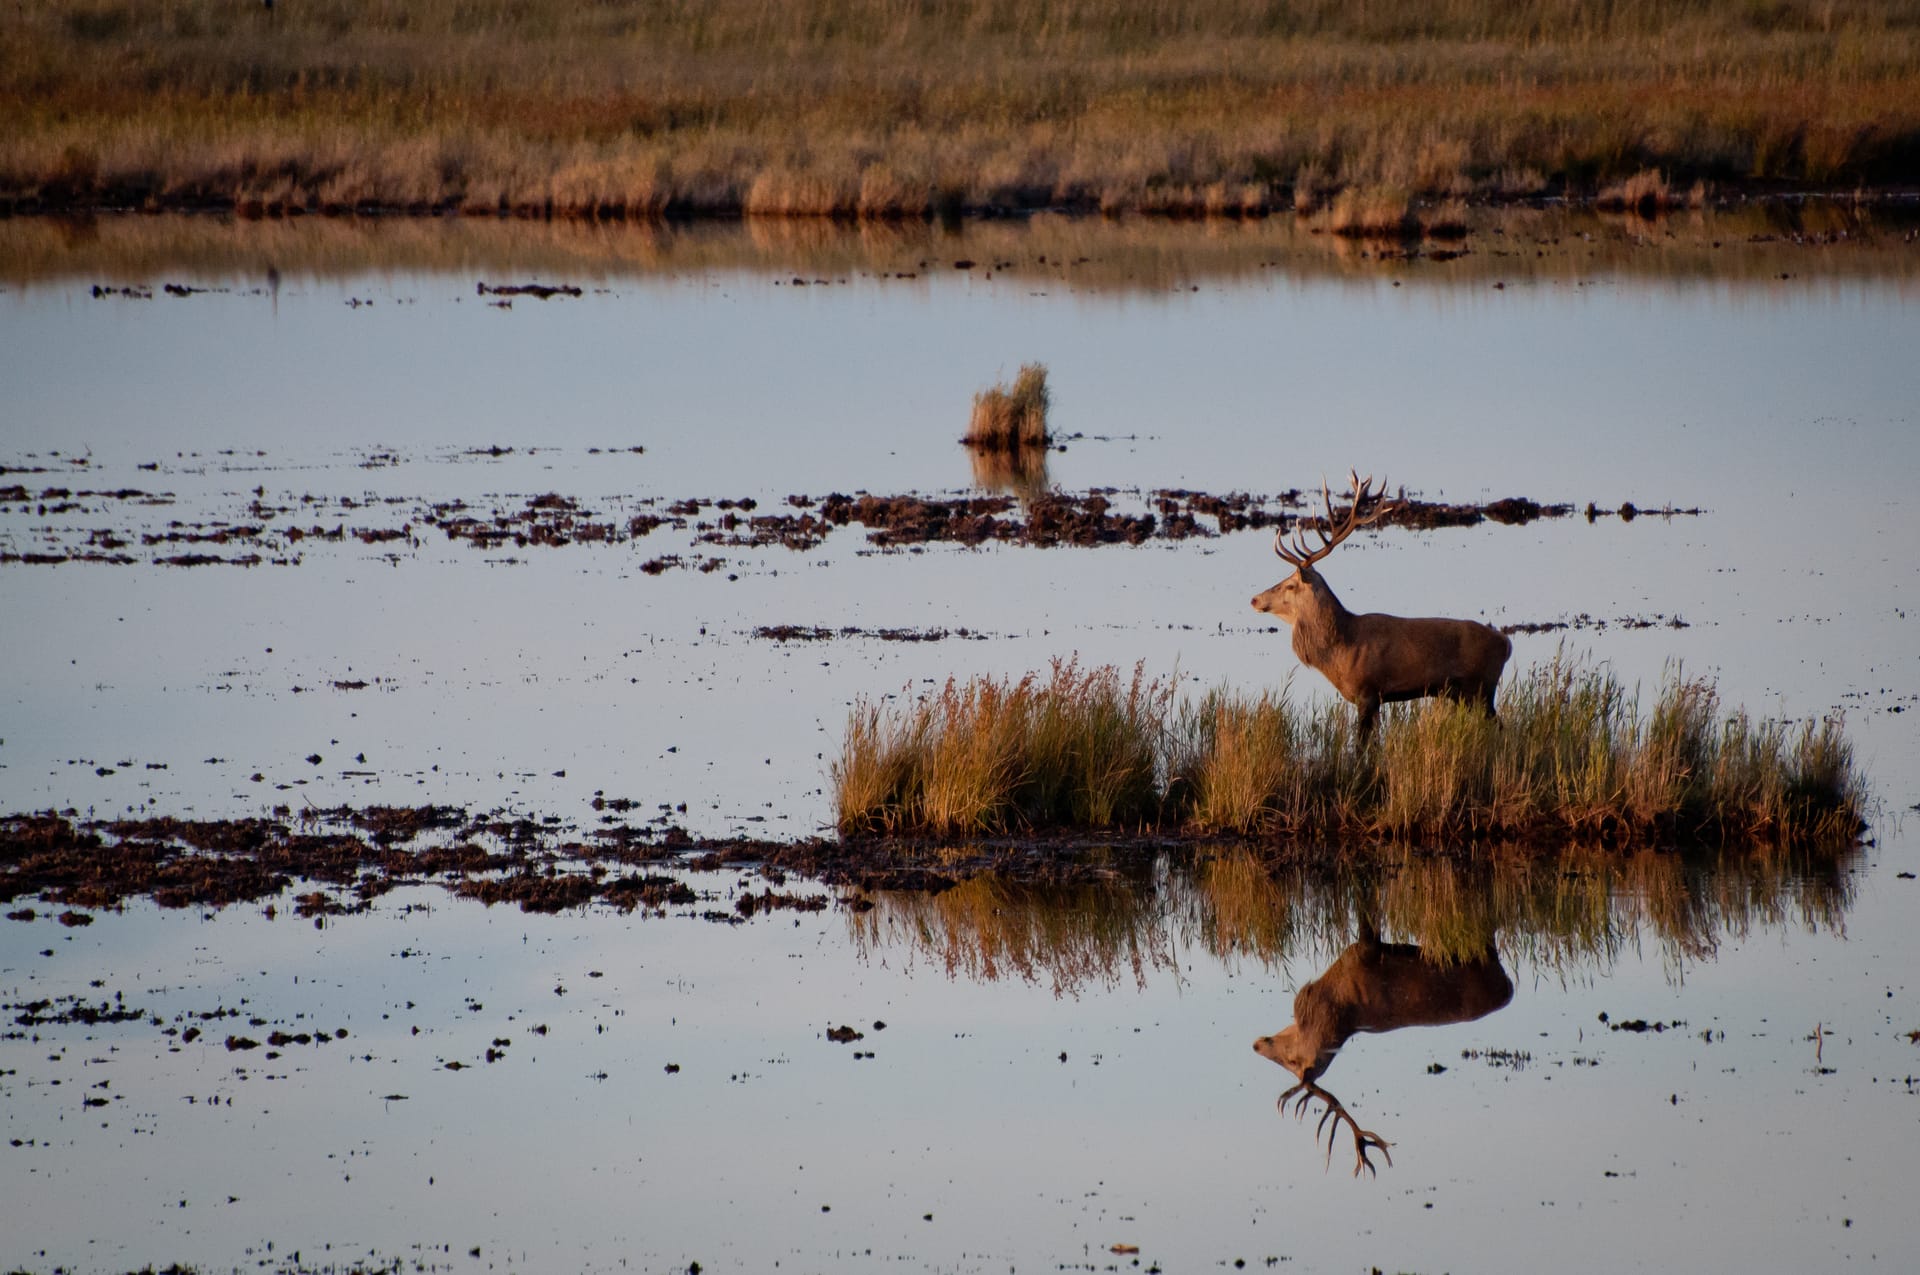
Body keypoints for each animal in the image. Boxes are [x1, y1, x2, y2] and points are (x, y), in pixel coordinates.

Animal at [1251, 471, 1511, 740]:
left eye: (1290, 584)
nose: (1255, 599)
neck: (1341, 651)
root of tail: (1507, 644)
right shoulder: (1373, 699)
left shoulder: (1368, 690)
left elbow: (1362, 744)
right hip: (1464, 693)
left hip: (1481, 687)